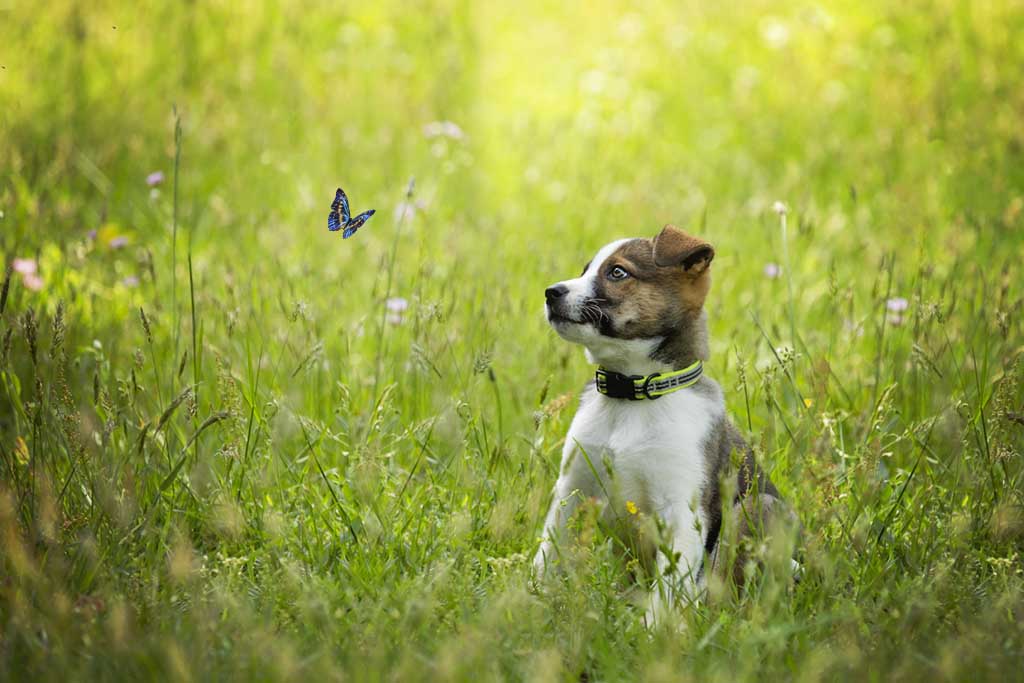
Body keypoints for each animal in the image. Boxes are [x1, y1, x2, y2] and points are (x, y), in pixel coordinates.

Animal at [532, 225, 794, 626]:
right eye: (585, 269)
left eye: (617, 272)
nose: (551, 292)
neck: (631, 398)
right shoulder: (570, 491)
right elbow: (545, 556)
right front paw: (523, 601)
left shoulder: (683, 510)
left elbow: (670, 587)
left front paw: (653, 632)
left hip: (761, 507)